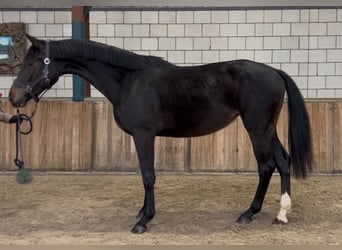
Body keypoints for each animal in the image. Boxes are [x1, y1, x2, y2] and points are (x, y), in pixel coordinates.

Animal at [8, 35, 312, 234]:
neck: (128, 81)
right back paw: (281, 213)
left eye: (34, 63)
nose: (14, 97)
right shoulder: (142, 137)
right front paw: (142, 212)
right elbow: (145, 175)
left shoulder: (144, 135)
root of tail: (274, 72)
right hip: (267, 129)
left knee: (266, 166)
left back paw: (249, 213)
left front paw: (143, 221)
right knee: (283, 161)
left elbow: (148, 176)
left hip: (257, 128)